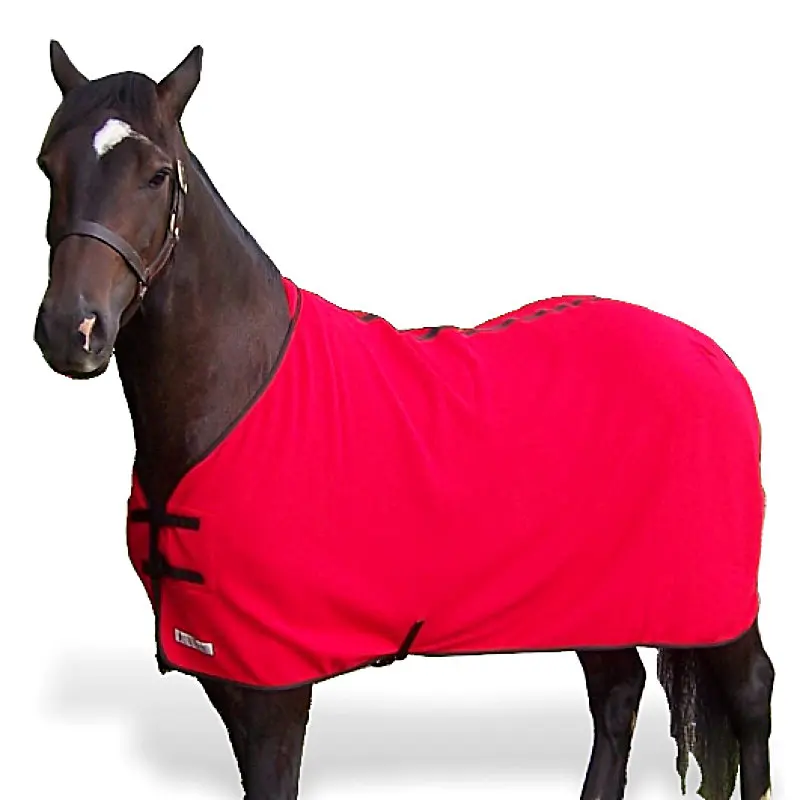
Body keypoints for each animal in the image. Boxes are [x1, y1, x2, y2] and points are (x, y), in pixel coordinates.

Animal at [33, 42, 774, 800]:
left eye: (156, 175)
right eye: (48, 165)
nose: (72, 330)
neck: (238, 391)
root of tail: (711, 356)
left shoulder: (274, 690)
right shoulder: (228, 670)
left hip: (709, 598)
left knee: (751, 691)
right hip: (594, 598)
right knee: (618, 693)